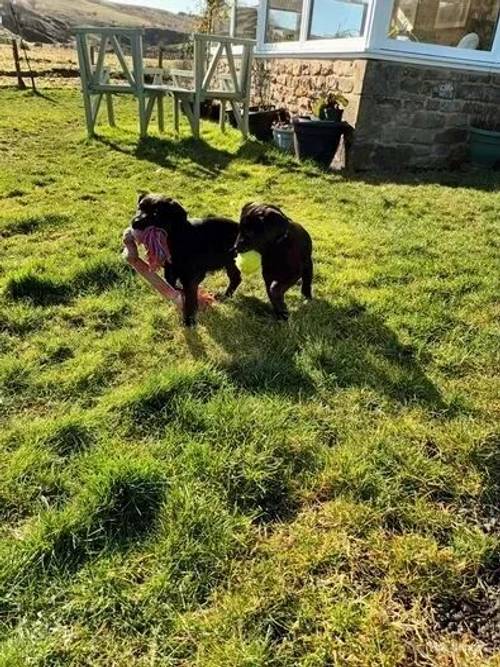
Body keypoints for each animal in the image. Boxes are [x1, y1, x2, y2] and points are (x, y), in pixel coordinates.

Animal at [132, 193, 241, 326]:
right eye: (140, 207)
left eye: (156, 213)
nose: (135, 222)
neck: (176, 236)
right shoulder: (171, 269)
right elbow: (172, 283)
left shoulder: (191, 276)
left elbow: (190, 297)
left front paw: (189, 320)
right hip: (230, 263)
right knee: (236, 277)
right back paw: (226, 296)